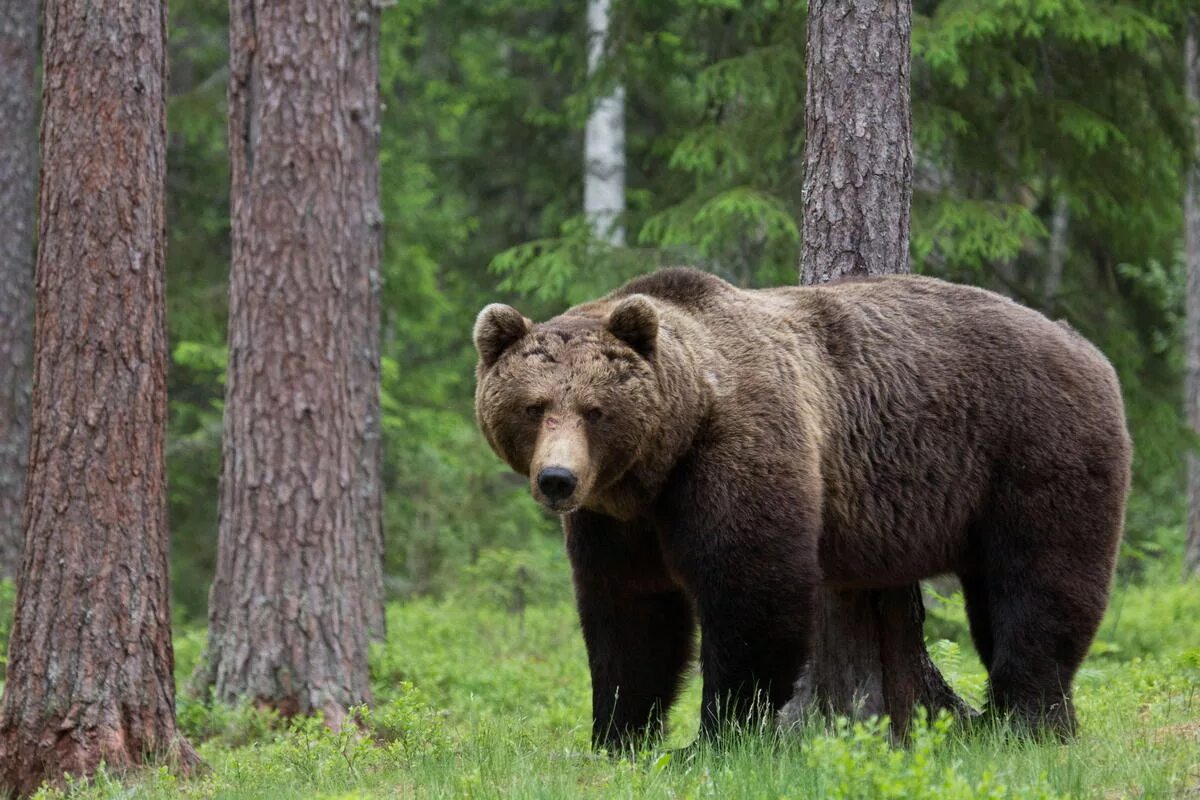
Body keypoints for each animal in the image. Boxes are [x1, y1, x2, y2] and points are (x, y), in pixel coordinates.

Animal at [472, 267, 1128, 753]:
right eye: (534, 407)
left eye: (595, 410)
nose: (558, 480)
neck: (663, 457)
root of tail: (1088, 347)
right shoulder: (619, 521)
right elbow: (630, 614)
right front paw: (617, 736)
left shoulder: (739, 449)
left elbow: (752, 589)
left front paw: (717, 737)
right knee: (996, 595)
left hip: (1033, 448)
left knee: (1040, 583)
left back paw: (1021, 719)